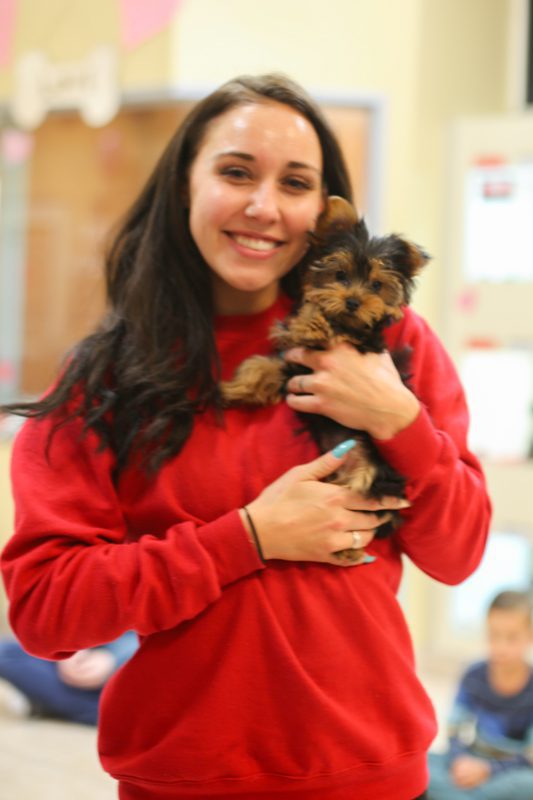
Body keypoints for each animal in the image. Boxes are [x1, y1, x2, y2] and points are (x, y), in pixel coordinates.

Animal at [220, 197, 428, 564]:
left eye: (377, 285)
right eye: (340, 275)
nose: (353, 301)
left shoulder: (362, 342)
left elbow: (330, 327)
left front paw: (312, 324)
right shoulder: (293, 366)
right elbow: (262, 366)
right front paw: (236, 388)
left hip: (366, 474)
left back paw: (347, 548)